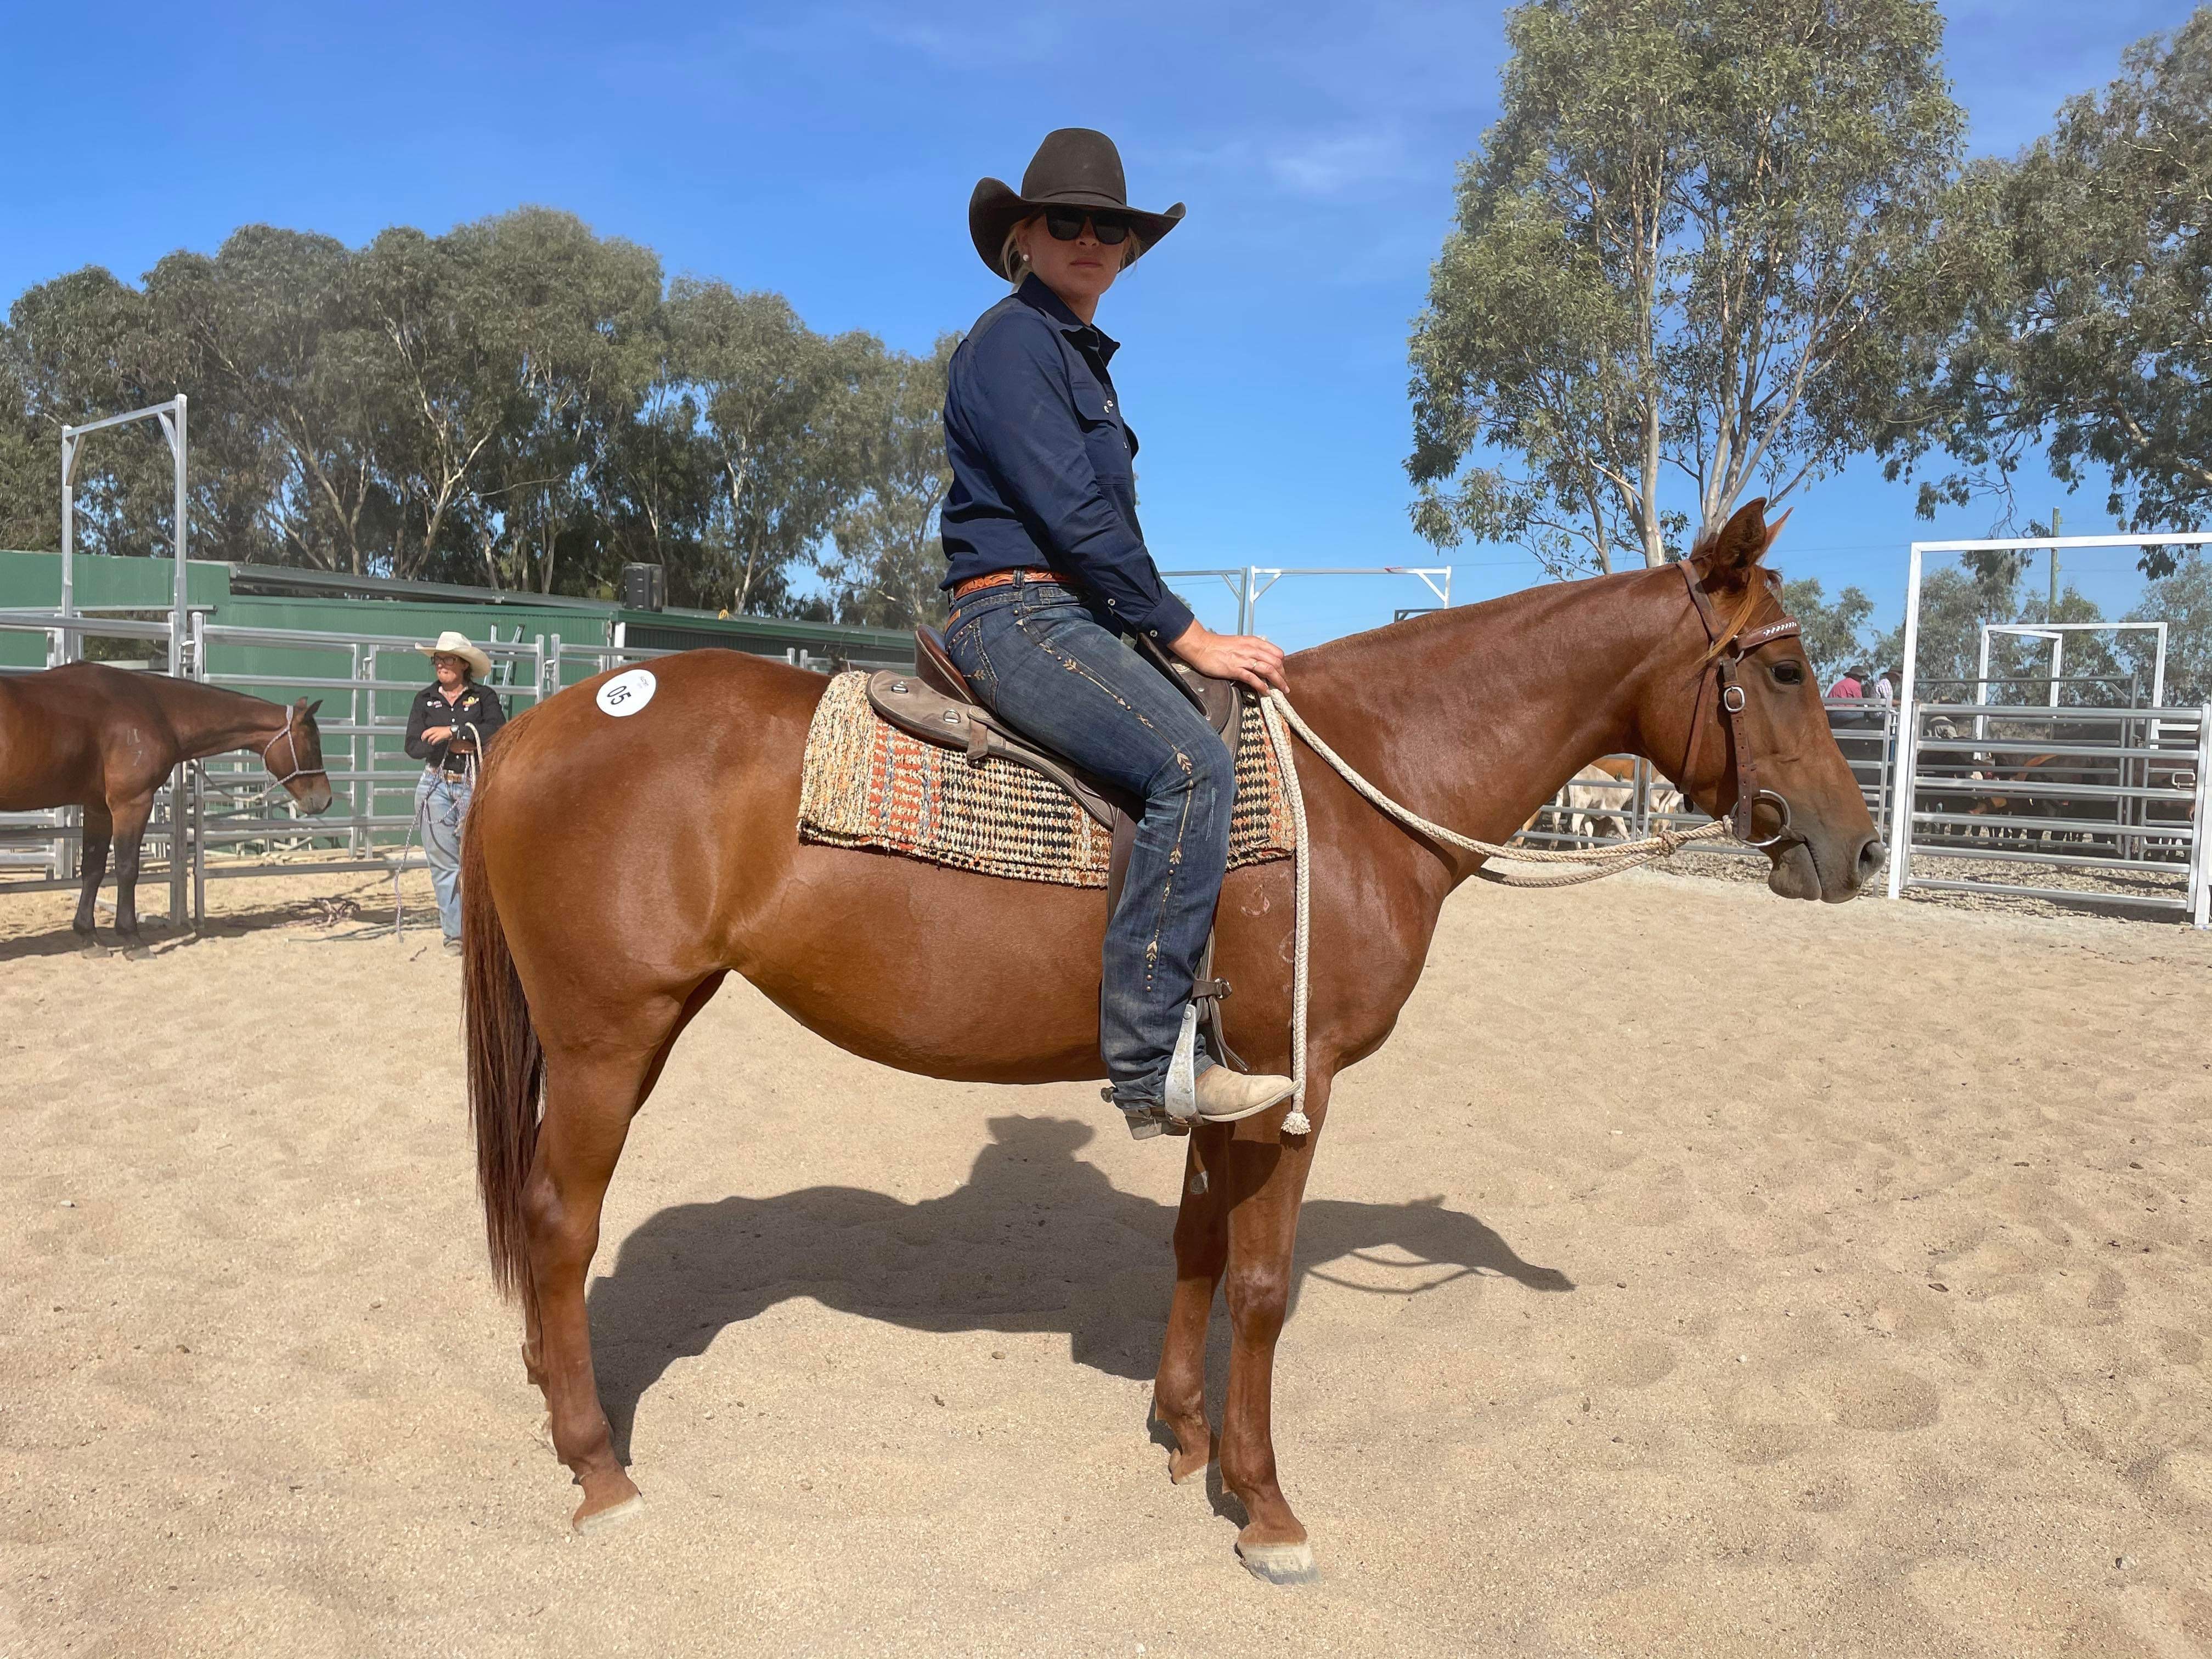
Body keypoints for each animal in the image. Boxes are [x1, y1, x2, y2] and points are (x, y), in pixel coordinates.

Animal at [0, 662, 334, 953]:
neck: (155, 709)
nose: (325, 799)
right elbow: (126, 868)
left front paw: (89, 936)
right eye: (313, 743)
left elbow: (93, 868)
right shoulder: (132, 804)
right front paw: (132, 938)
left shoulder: (98, 808)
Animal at [460, 497, 1883, 1579]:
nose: (1857, 851)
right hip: (608, 1040)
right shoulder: (1296, 1082)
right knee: (560, 1224)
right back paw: (597, 1467)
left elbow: (1198, 1250)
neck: (1365, 782)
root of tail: (536, 726)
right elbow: (1260, 1287)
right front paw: (1266, 1505)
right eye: (1786, 670)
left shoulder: (1218, 1080)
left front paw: (1186, 1438)